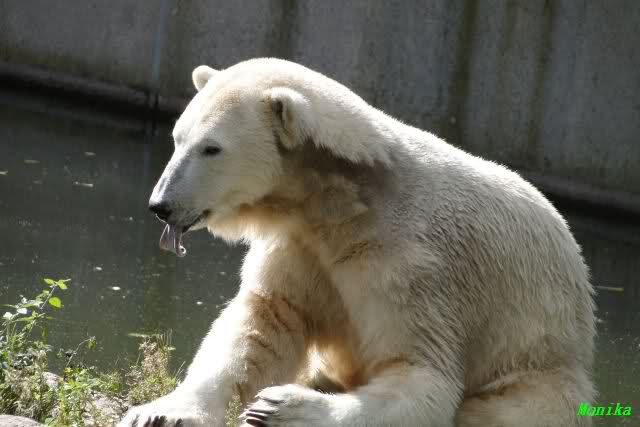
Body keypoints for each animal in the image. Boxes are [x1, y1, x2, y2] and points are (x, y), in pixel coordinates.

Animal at [118, 58, 595, 427]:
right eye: (178, 138)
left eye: (212, 148)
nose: (160, 205)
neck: (345, 202)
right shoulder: (298, 246)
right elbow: (261, 324)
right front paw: (160, 412)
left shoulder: (412, 268)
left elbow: (421, 376)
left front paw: (281, 407)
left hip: (541, 364)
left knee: (505, 408)